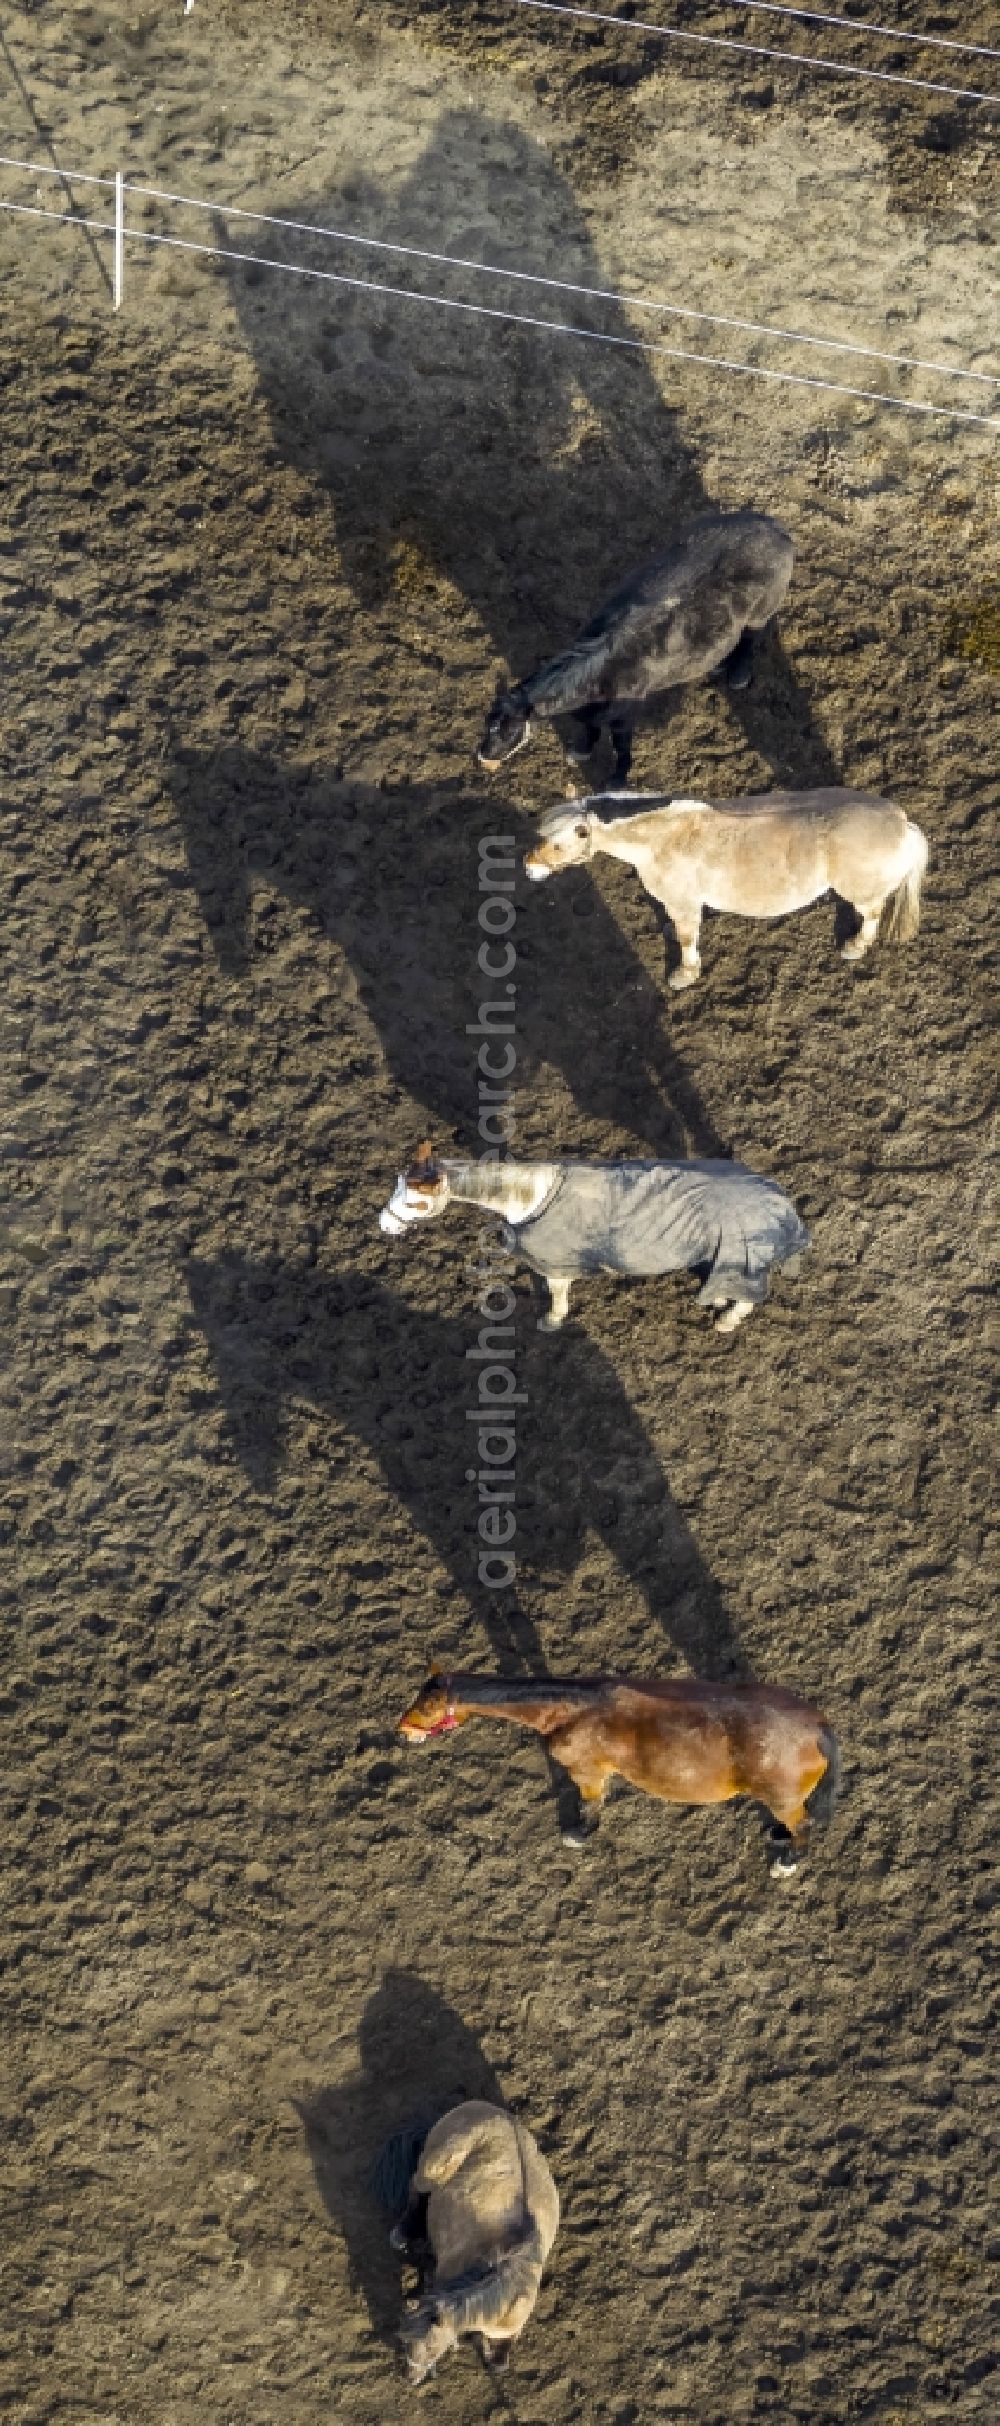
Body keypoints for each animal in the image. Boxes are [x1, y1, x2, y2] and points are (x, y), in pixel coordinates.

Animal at [393, 2105, 563, 2387]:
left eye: (431, 2347)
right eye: (404, 2339)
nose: (409, 2379)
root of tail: (477, 2106)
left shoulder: (507, 2331)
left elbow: (497, 2364)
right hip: (433, 2169)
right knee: (416, 2188)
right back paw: (403, 2234)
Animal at [402, 1669, 839, 1872]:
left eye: (427, 1708)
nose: (402, 1730)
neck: (573, 1709)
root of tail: (816, 1727)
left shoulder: (587, 1772)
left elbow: (592, 1804)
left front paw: (580, 1834)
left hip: (782, 1799)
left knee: (803, 1825)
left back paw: (787, 1862)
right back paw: (778, 1835)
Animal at [526, 790, 927, 989]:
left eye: (559, 844)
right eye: (540, 834)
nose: (529, 869)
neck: (663, 838)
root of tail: (902, 824)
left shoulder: (685, 903)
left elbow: (688, 938)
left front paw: (684, 975)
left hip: (862, 893)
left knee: (872, 914)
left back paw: (855, 946)